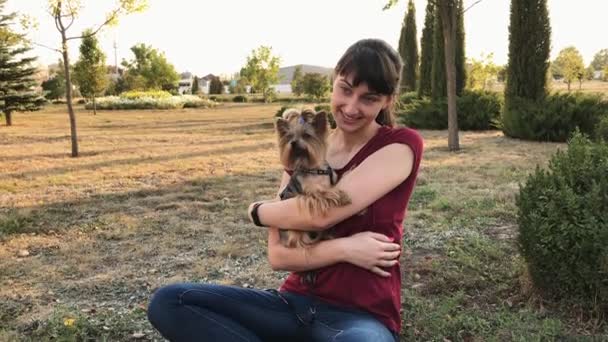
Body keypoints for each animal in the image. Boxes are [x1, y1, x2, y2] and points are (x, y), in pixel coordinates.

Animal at [274, 108, 350, 250]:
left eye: (306, 135)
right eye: (289, 137)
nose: (293, 143)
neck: (315, 170)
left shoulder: (332, 179)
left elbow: (333, 186)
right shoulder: (311, 192)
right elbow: (324, 191)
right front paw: (342, 196)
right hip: (294, 231)